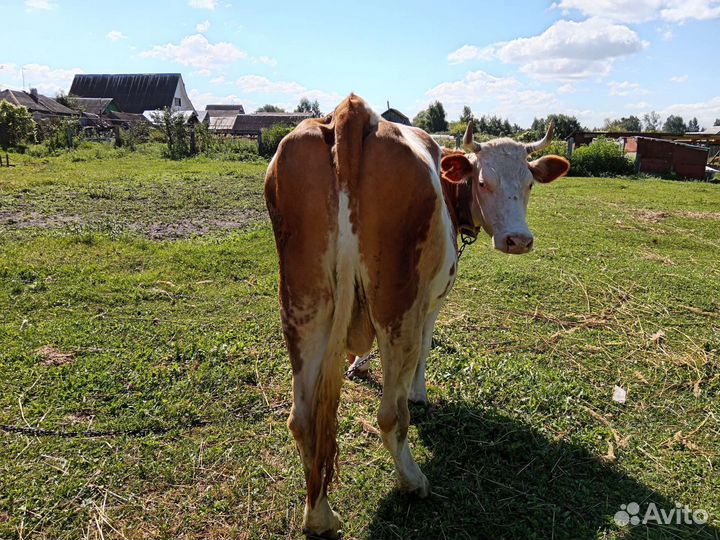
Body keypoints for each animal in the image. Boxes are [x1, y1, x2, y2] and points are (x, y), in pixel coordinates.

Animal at [264, 94, 569, 538]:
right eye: (483, 182)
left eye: (529, 184)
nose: (518, 240)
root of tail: (352, 111)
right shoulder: (432, 301)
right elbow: (425, 350)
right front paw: (418, 391)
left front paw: (359, 364)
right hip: (398, 306)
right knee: (391, 415)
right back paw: (413, 481)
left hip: (303, 306)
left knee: (302, 419)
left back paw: (319, 516)